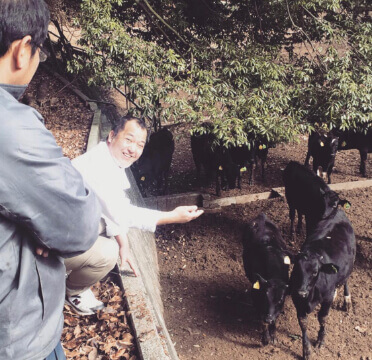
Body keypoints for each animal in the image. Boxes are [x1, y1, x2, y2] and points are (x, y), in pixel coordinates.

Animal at [243, 212, 292, 344]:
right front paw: (265, 337)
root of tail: (262, 216)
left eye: (280, 300)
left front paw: (273, 334)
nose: (268, 319)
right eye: (265, 298)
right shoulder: (255, 295)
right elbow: (260, 316)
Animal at [290, 207, 356, 358]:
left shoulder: (326, 299)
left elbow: (322, 318)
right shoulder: (297, 300)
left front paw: (321, 339)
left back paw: (347, 300)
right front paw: (306, 350)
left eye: (315, 272)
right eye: (296, 269)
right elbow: (303, 323)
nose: (302, 292)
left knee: (345, 280)